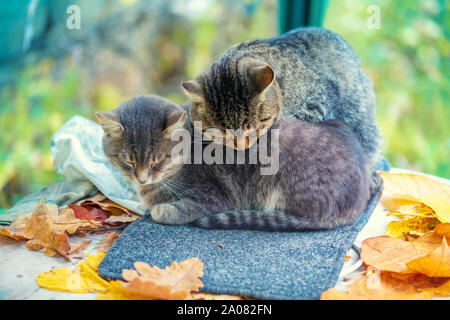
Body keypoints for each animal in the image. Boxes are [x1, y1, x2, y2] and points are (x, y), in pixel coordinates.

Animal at [96, 94, 370, 231]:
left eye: (158, 162)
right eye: (128, 161)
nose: (142, 179)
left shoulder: (213, 197)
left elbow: (178, 208)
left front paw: (160, 209)